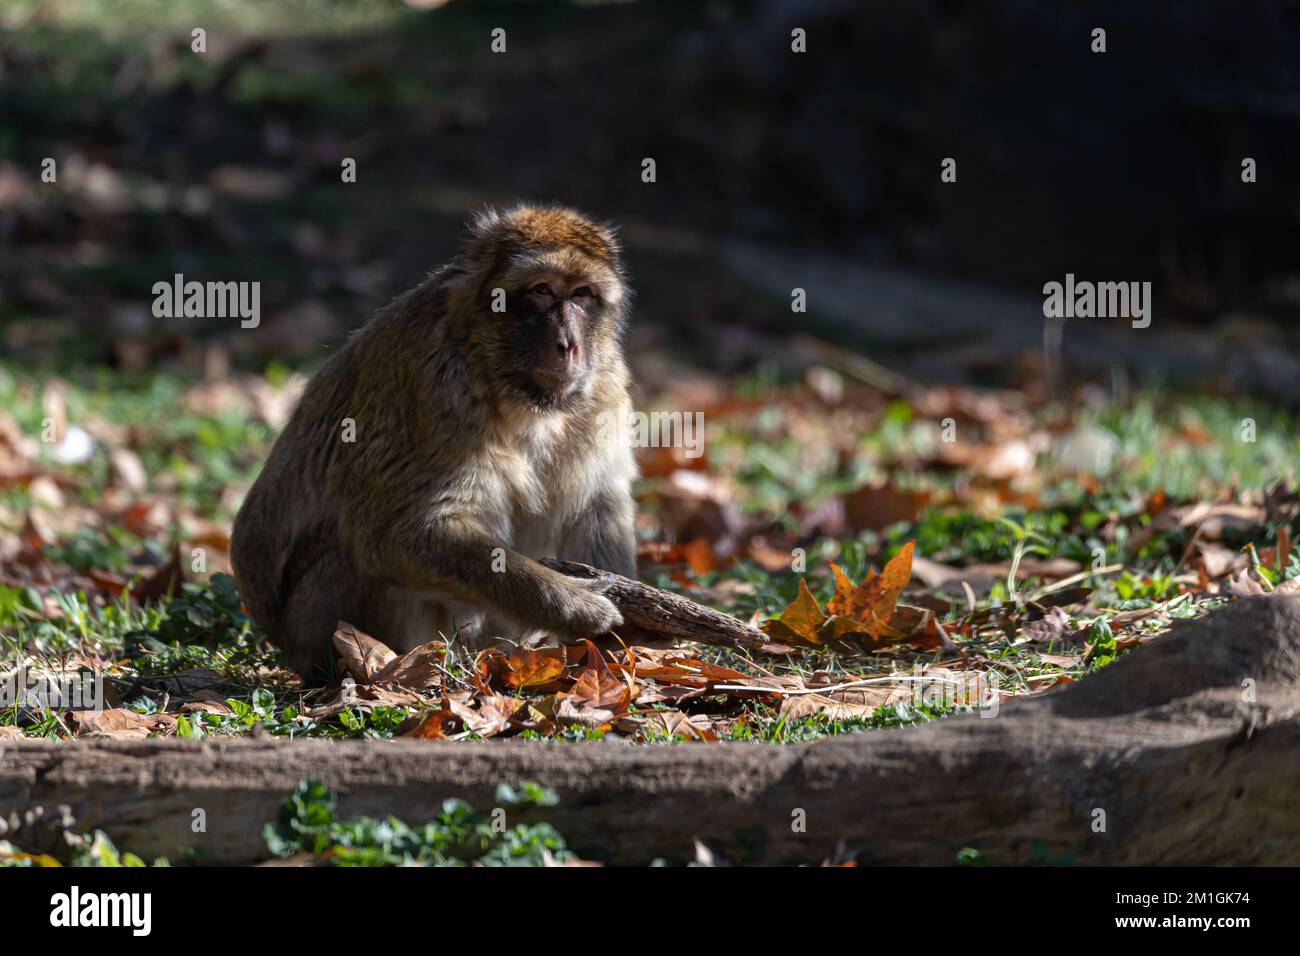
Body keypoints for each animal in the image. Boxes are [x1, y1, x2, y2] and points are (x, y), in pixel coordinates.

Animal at [229, 205, 638, 680]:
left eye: (582, 295)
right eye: (542, 290)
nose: (568, 344)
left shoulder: (606, 386)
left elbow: (598, 507)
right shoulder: (434, 388)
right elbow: (398, 535)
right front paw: (577, 608)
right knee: (346, 554)